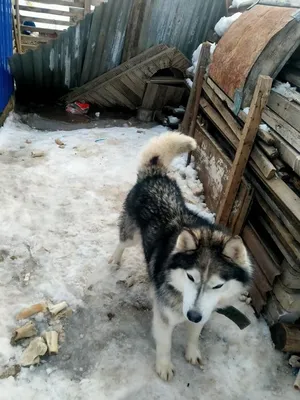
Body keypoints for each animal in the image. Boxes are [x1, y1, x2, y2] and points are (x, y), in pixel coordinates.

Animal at [109, 132, 252, 382]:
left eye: (218, 286)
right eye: (191, 278)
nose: (192, 315)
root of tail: (155, 174)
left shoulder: (204, 312)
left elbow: (194, 335)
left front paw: (192, 352)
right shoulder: (164, 318)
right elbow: (165, 345)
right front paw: (164, 367)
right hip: (132, 236)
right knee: (122, 242)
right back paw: (115, 260)